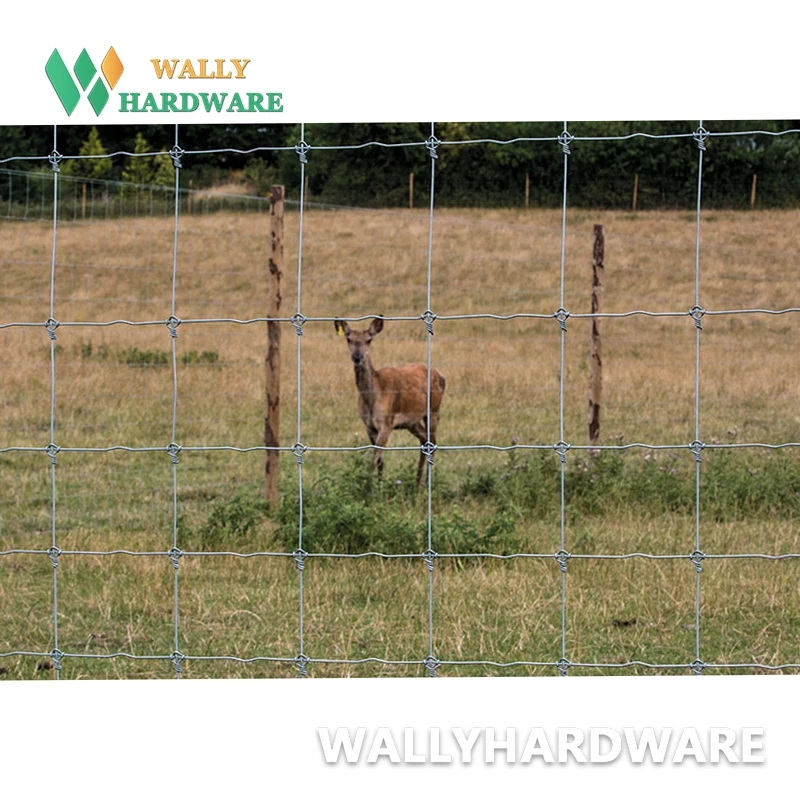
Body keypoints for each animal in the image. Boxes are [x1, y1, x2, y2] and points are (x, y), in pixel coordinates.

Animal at [334, 317, 446, 486]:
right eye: (349, 339)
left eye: (369, 340)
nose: (357, 357)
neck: (372, 398)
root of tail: (441, 377)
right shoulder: (369, 425)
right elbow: (380, 460)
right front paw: (379, 484)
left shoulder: (386, 423)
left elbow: (374, 459)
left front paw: (368, 488)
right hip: (412, 422)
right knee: (424, 440)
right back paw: (417, 483)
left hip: (433, 410)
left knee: (432, 442)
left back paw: (426, 482)